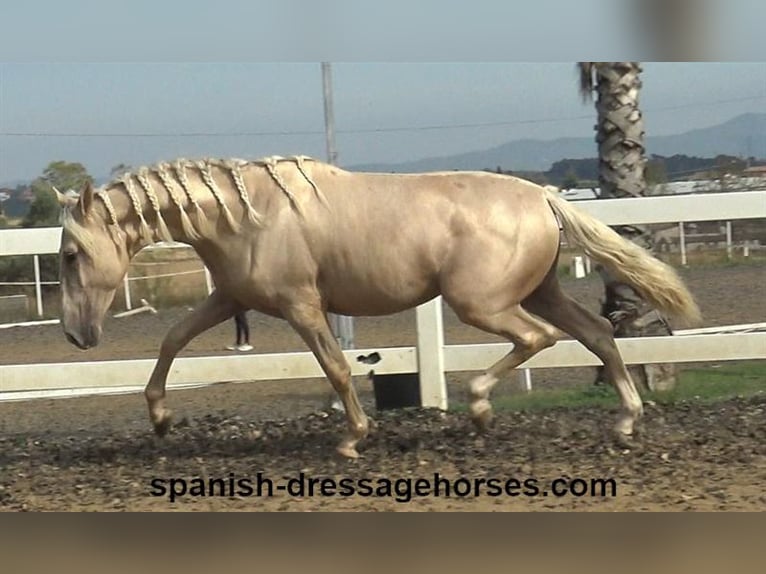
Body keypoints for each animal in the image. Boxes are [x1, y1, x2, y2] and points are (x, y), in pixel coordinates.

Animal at [54, 156, 704, 460]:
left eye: (69, 253)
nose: (76, 336)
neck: (248, 214)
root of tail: (544, 197)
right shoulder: (231, 298)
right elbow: (173, 340)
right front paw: (161, 420)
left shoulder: (301, 306)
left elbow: (338, 368)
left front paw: (353, 438)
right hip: (538, 290)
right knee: (596, 331)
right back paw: (625, 422)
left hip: (482, 303)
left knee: (538, 338)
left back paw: (479, 409)